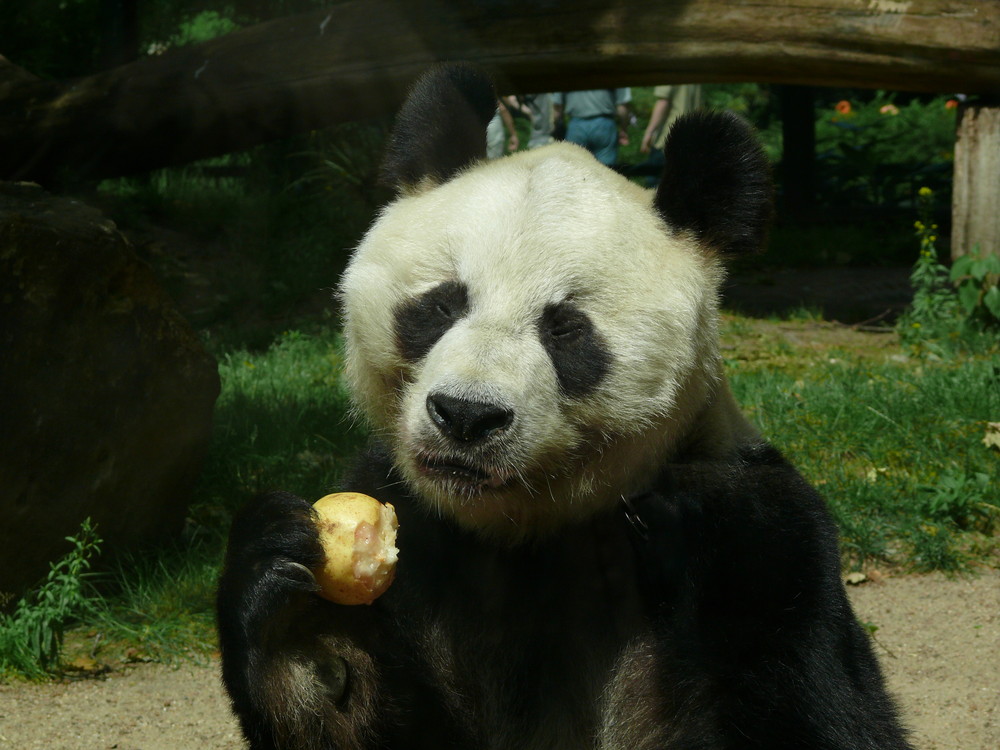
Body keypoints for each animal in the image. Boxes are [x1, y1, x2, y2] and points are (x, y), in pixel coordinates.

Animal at [219, 66, 916, 750]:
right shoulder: (411, 521)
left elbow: (823, 719)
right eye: (442, 304)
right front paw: (293, 619)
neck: (523, 527)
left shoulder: (771, 550)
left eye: (566, 330)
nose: (466, 416)